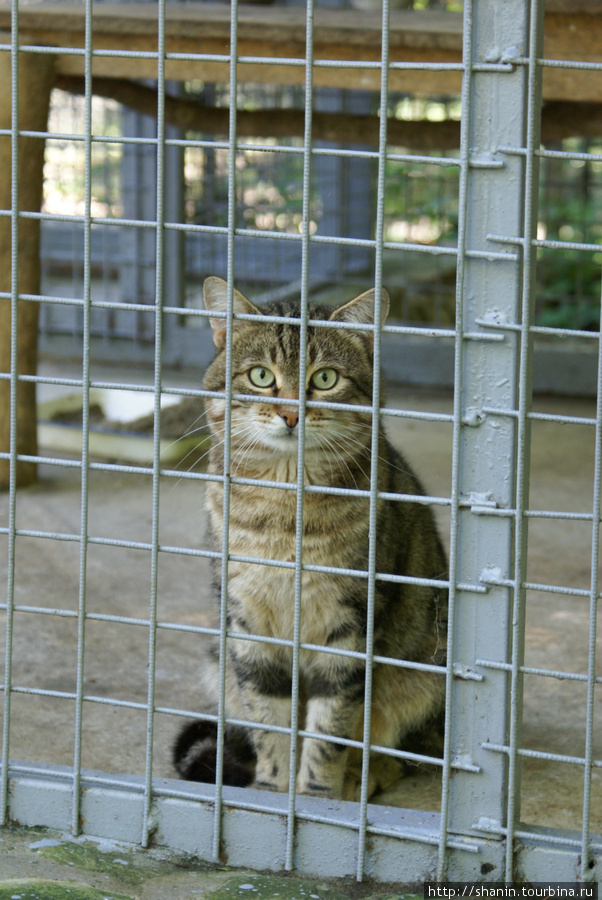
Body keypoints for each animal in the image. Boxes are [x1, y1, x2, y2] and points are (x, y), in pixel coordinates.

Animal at [173, 276, 446, 800]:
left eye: (324, 379)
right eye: (261, 376)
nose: (290, 414)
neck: (284, 511)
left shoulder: (348, 626)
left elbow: (328, 730)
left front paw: (317, 800)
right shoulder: (247, 626)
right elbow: (270, 724)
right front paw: (271, 793)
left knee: (403, 749)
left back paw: (364, 779)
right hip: (219, 661)